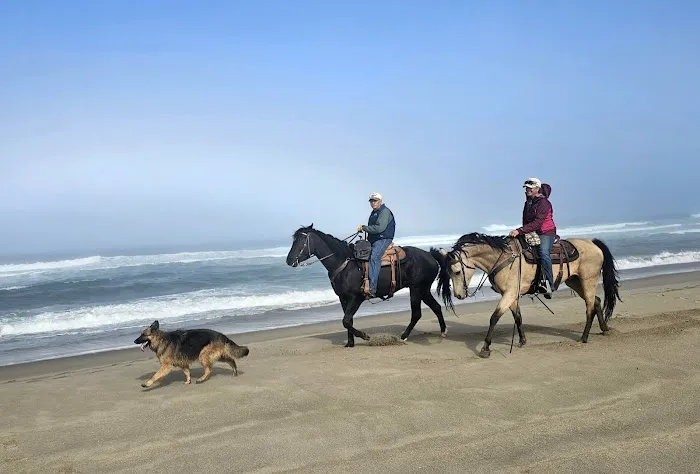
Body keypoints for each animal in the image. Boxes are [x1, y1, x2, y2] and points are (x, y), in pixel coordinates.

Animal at [285, 224, 448, 347]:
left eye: (301, 240)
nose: (289, 260)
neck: (345, 264)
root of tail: (429, 255)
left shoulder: (356, 298)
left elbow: (345, 320)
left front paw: (365, 336)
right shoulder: (343, 298)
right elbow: (348, 320)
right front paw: (350, 343)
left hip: (416, 289)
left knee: (416, 313)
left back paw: (403, 336)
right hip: (424, 290)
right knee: (436, 307)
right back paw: (443, 331)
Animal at [431, 232, 622, 358]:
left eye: (456, 271)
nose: (459, 295)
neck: (503, 258)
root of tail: (593, 243)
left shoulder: (508, 294)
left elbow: (494, 317)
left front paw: (485, 348)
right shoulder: (512, 295)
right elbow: (518, 317)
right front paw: (522, 341)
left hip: (588, 280)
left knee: (589, 306)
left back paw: (583, 337)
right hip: (574, 281)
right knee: (596, 301)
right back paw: (604, 329)